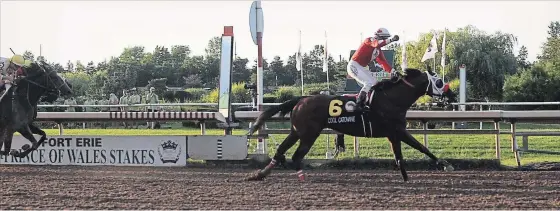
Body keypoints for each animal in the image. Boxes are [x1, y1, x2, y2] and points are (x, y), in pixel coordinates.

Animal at [247, 67, 458, 181]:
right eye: (439, 81)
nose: (453, 94)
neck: (392, 99)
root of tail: (301, 99)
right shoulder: (395, 132)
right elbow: (404, 155)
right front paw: (408, 178)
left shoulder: (397, 132)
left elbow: (421, 148)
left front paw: (445, 164)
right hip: (309, 133)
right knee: (296, 156)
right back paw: (301, 177)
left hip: (296, 131)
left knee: (281, 151)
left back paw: (259, 174)